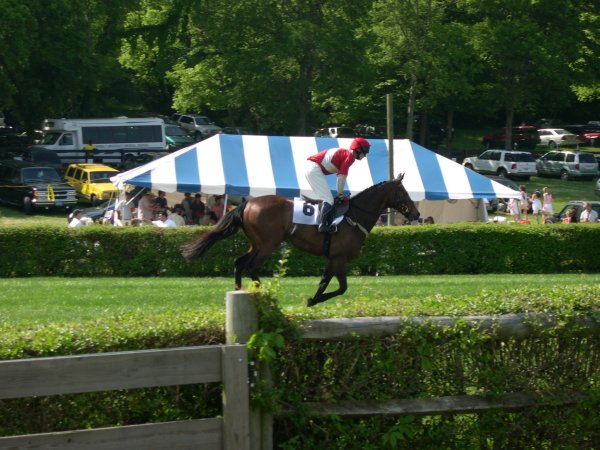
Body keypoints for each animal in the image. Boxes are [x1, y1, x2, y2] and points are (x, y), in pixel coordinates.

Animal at [182, 174, 420, 306]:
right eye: (403, 192)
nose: (416, 214)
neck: (354, 215)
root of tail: (247, 203)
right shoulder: (339, 257)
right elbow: (340, 286)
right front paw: (312, 300)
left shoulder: (334, 258)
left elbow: (327, 283)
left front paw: (313, 300)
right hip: (268, 244)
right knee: (251, 266)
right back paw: (265, 294)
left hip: (256, 243)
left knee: (239, 263)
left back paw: (240, 290)